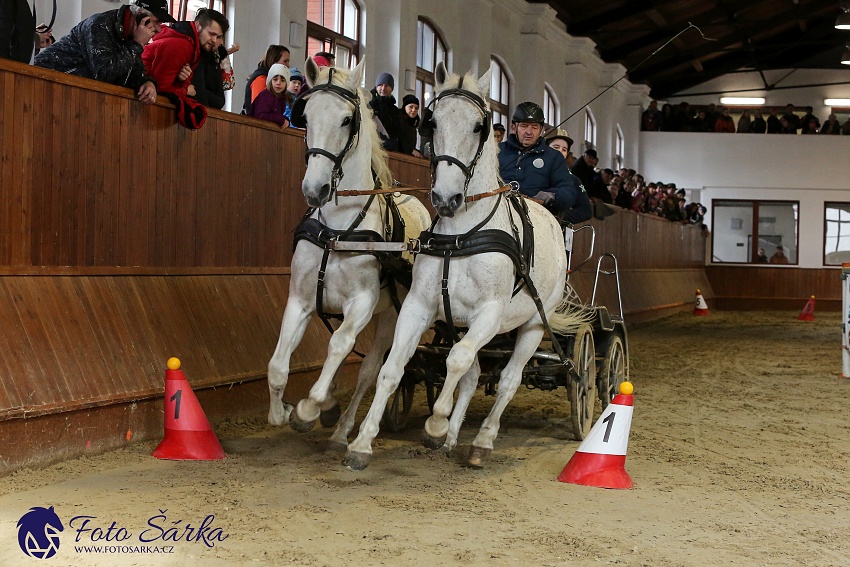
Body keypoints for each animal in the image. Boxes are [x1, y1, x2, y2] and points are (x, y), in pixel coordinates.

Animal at [268, 58, 430, 448]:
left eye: (346, 120)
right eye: (306, 115)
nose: (315, 189)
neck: (338, 230)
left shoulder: (363, 303)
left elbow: (340, 345)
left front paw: (308, 409)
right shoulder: (301, 298)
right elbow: (278, 364)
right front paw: (283, 411)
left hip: (391, 315)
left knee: (369, 369)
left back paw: (343, 431)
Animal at [342, 63, 592, 470]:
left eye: (479, 126)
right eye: (432, 122)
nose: (446, 197)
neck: (462, 234)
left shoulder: (489, 314)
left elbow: (457, 361)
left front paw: (436, 424)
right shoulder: (419, 307)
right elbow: (394, 368)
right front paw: (362, 445)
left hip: (534, 325)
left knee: (508, 378)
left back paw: (480, 442)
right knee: (475, 373)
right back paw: (452, 439)